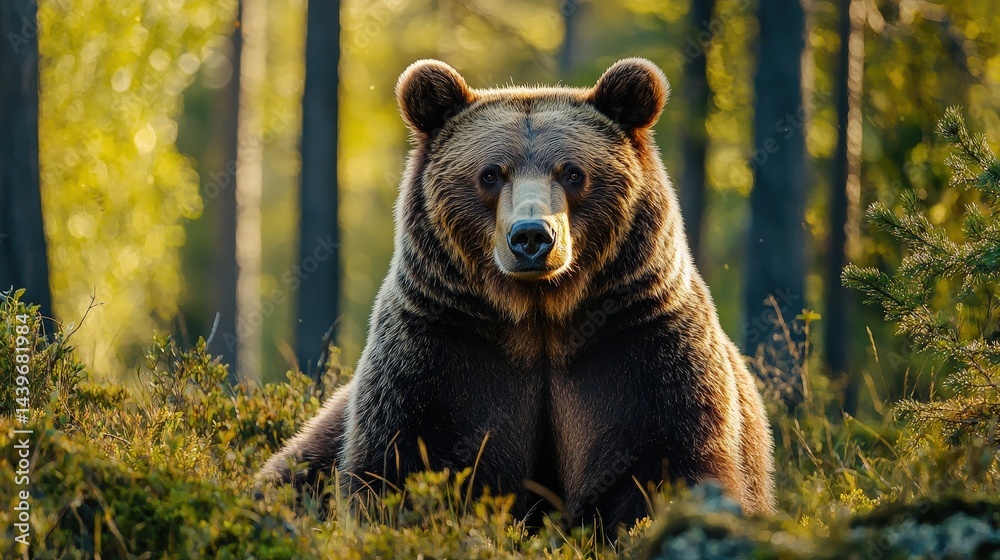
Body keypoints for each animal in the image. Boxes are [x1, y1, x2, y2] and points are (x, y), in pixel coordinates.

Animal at [258, 57, 776, 534]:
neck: (539, 315)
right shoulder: (441, 347)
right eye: (490, 173)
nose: (531, 236)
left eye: (572, 172)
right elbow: (400, 463)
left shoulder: (640, 344)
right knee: (290, 475)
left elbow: (669, 462)